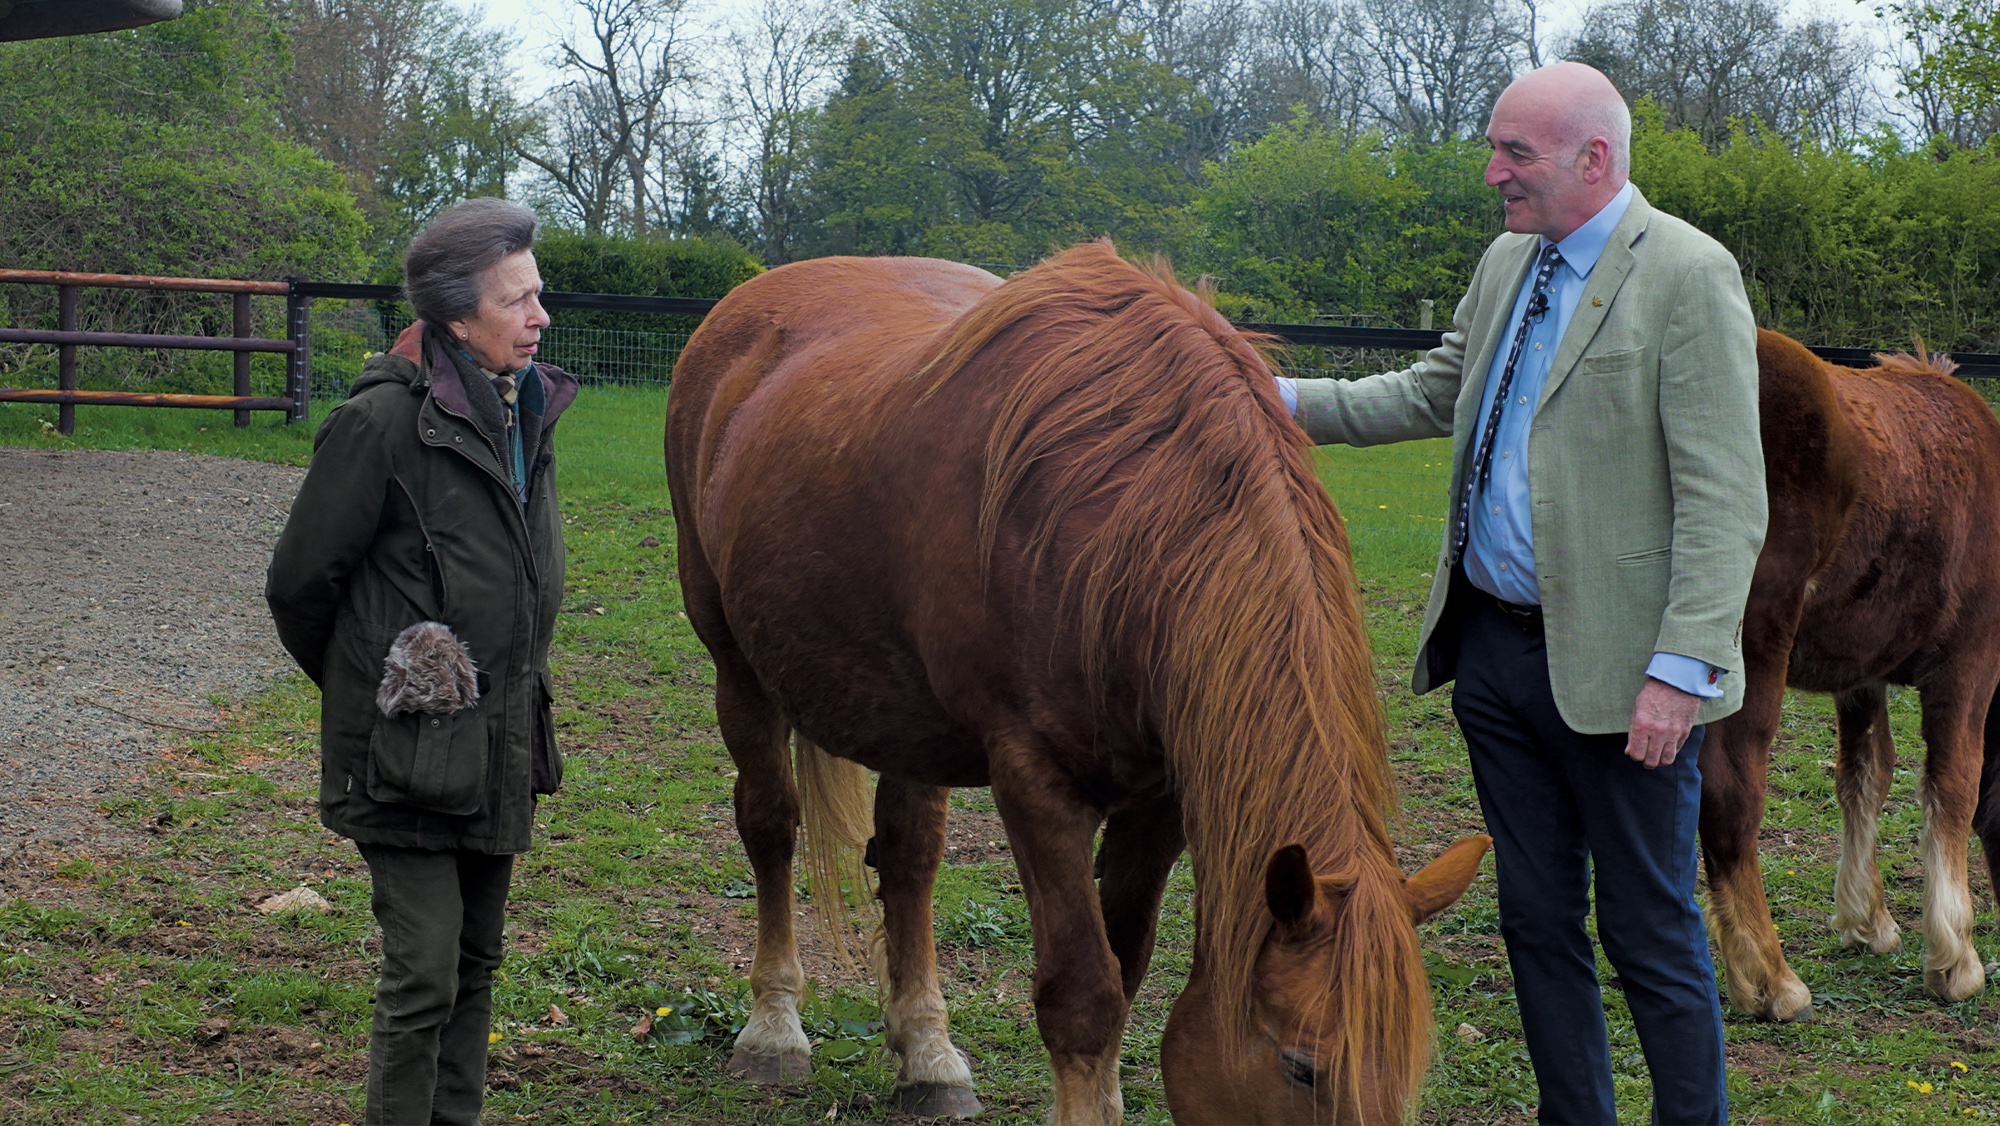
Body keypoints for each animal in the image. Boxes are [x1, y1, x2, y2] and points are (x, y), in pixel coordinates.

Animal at [663, 241, 1488, 1125]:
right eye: (1302, 1067)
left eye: (1407, 1073)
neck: (1122, 529)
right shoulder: (1036, 783)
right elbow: (1083, 995)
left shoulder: (1162, 797)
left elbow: (1127, 968)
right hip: (738, 668)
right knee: (769, 826)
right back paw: (773, 1027)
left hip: (909, 718)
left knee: (910, 859)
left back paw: (926, 1052)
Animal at [1700, 328, 2000, 1021]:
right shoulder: (1969, 662)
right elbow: (1954, 784)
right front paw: (1955, 958)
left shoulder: (1862, 673)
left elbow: (1865, 775)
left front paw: (1868, 921)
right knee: (1730, 796)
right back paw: (1770, 980)